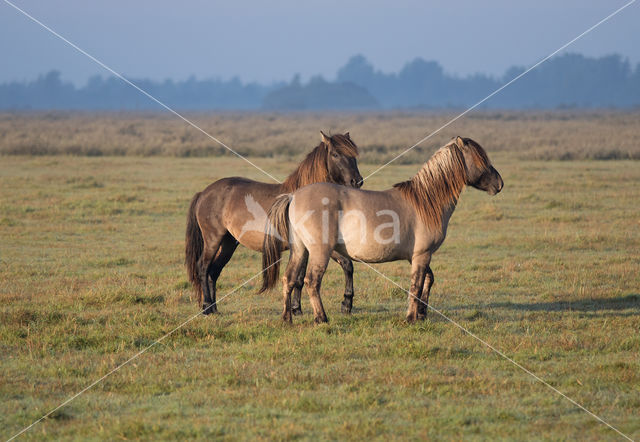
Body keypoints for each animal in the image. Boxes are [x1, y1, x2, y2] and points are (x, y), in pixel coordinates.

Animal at [188, 131, 362, 314]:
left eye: (354, 155)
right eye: (335, 154)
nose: (357, 181)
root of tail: (203, 193)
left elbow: (306, 276)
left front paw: (297, 308)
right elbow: (343, 265)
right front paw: (345, 303)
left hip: (228, 243)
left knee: (214, 271)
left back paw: (214, 308)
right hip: (213, 240)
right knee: (203, 268)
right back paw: (206, 307)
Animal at [258, 136, 502, 322]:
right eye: (481, 160)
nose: (499, 184)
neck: (425, 201)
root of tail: (293, 196)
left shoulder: (416, 256)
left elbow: (427, 280)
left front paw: (422, 313)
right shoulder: (422, 255)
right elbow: (416, 285)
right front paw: (411, 318)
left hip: (300, 250)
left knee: (289, 279)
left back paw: (287, 318)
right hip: (320, 252)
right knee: (311, 281)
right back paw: (321, 318)